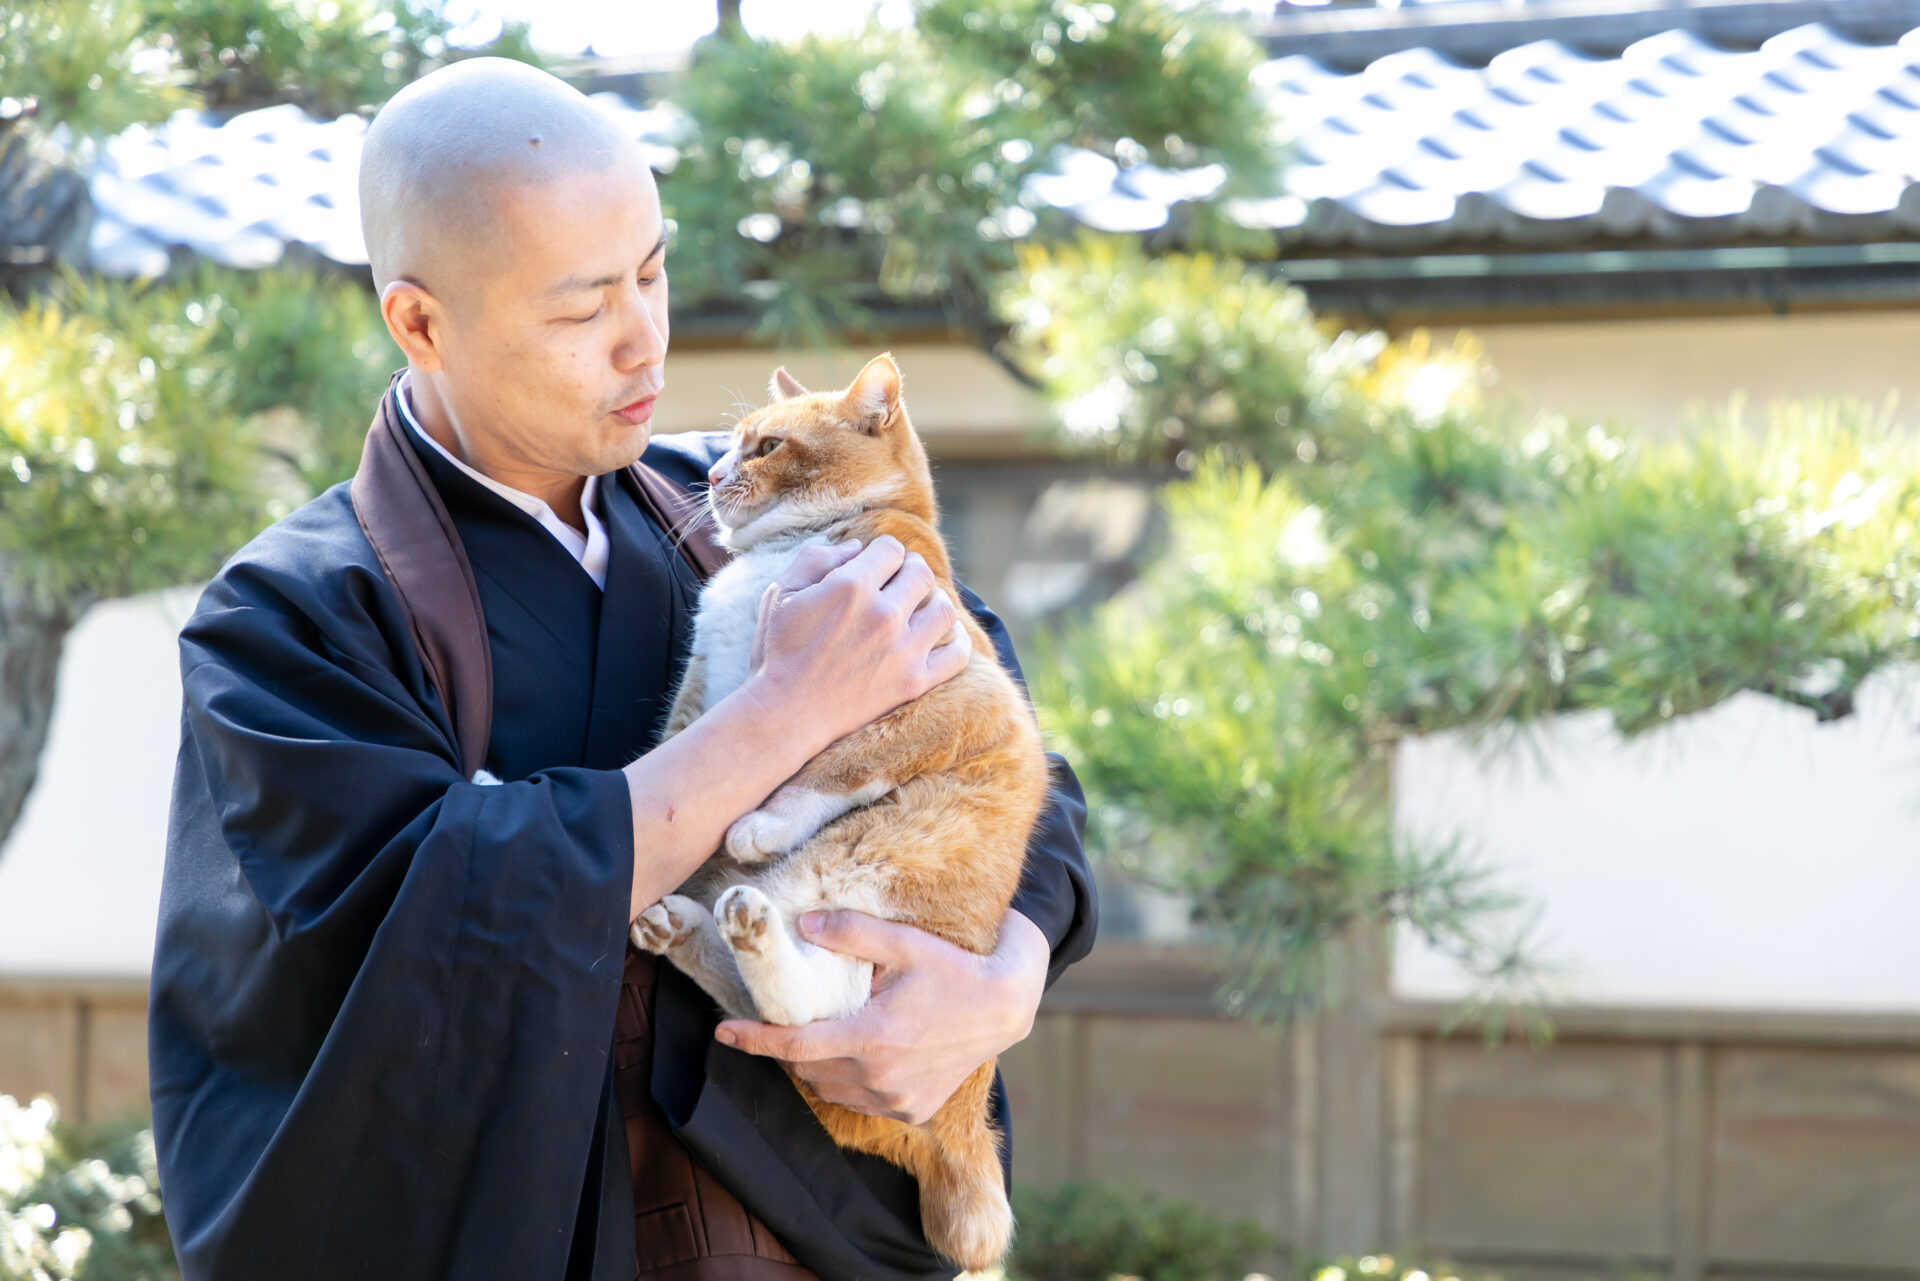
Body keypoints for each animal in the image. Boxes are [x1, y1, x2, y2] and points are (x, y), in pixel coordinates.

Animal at [629, 351, 1052, 1275]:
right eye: (733, 443)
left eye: (768, 446)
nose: (710, 472)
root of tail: (963, 1123)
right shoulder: (698, 697)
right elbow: (649, 767)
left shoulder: (955, 695)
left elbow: (834, 762)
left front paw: (762, 818)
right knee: (766, 1009)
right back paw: (685, 925)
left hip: (860, 864)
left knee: (813, 1003)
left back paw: (747, 920)